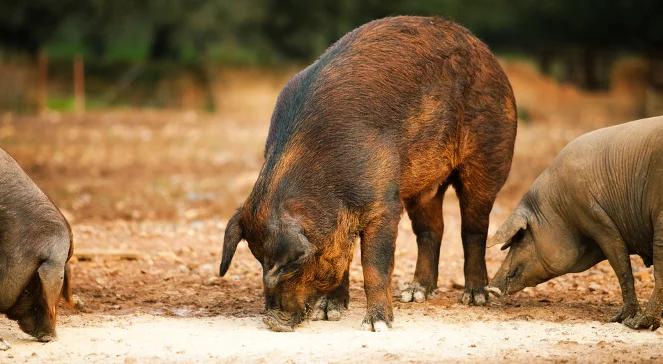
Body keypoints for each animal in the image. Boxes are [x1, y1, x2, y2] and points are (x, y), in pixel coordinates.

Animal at [220, 15, 516, 332]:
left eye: (290, 264)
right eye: (259, 259)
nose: (273, 322)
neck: (327, 182)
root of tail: (489, 55)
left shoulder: (383, 204)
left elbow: (375, 264)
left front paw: (376, 326)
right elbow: (345, 255)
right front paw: (328, 313)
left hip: (489, 157)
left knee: (473, 228)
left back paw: (474, 297)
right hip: (422, 186)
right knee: (431, 230)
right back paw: (414, 294)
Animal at [488, 116, 663, 330]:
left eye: (520, 237)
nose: (490, 287)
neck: (557, 206)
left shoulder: (593, 217)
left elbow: (621, 265)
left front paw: (617, 319)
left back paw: (637, 324)